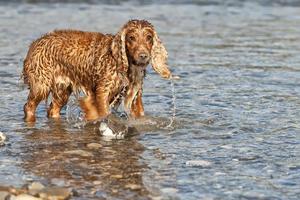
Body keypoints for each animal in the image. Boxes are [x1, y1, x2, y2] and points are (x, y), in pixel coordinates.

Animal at [22, 19, 172, 122]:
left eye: (149, 37)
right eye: (131, 37)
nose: (143, 56)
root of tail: (35, 43)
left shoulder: (135, 95)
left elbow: (139, 113)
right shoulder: (102, 92)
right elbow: (103, 113)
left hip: (62, 89)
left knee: (53, 109)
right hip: (41, 85)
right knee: (29, 106)